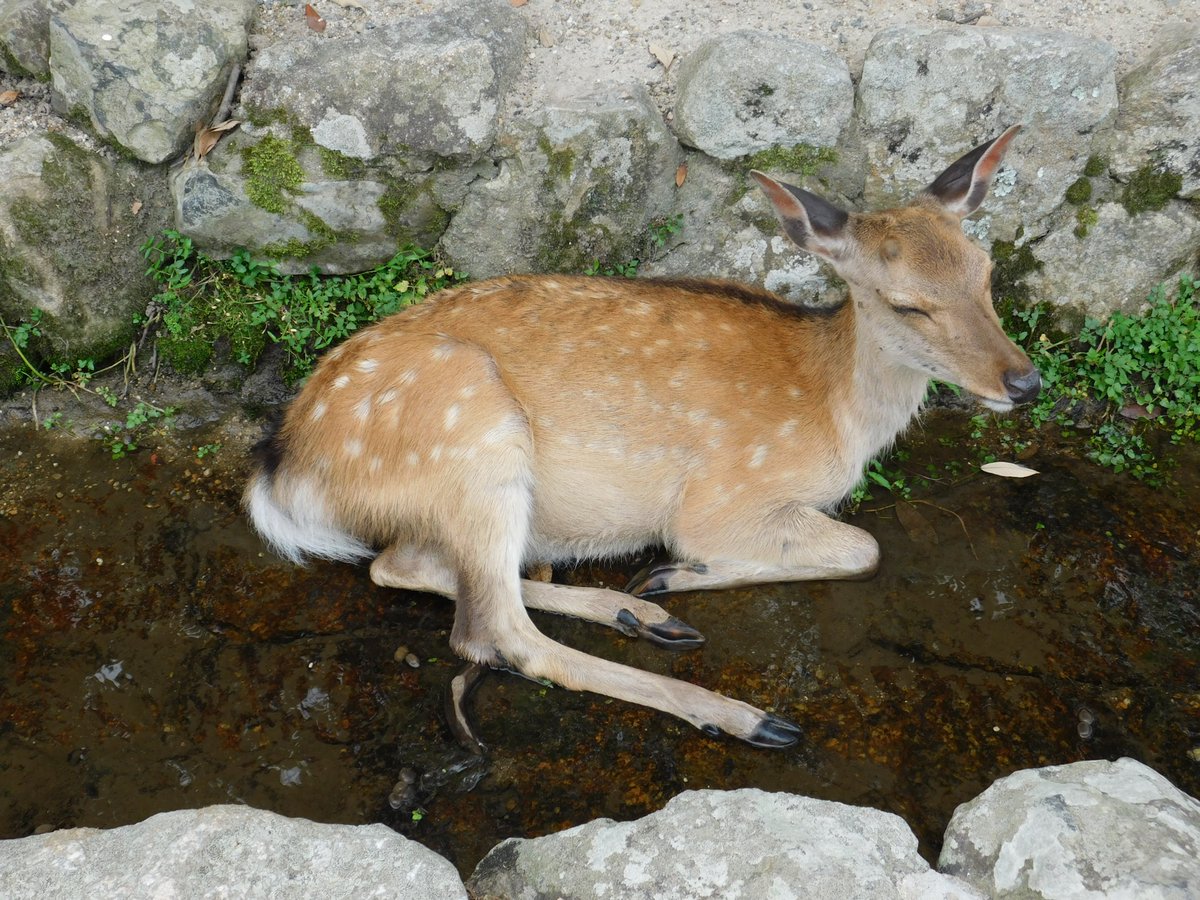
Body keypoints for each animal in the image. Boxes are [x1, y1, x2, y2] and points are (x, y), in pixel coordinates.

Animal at [244, 125, 1039, 749]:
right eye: (908, 305)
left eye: (987, 271)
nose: (1024, 382)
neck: (834, 413)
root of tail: (288, 467)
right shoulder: (724, 493)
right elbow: (864, 548)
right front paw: (679, 570)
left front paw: (663, 582)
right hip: (475, 437)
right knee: (489, 631)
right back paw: (739, 712)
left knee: (405, 566)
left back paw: (640, 611)